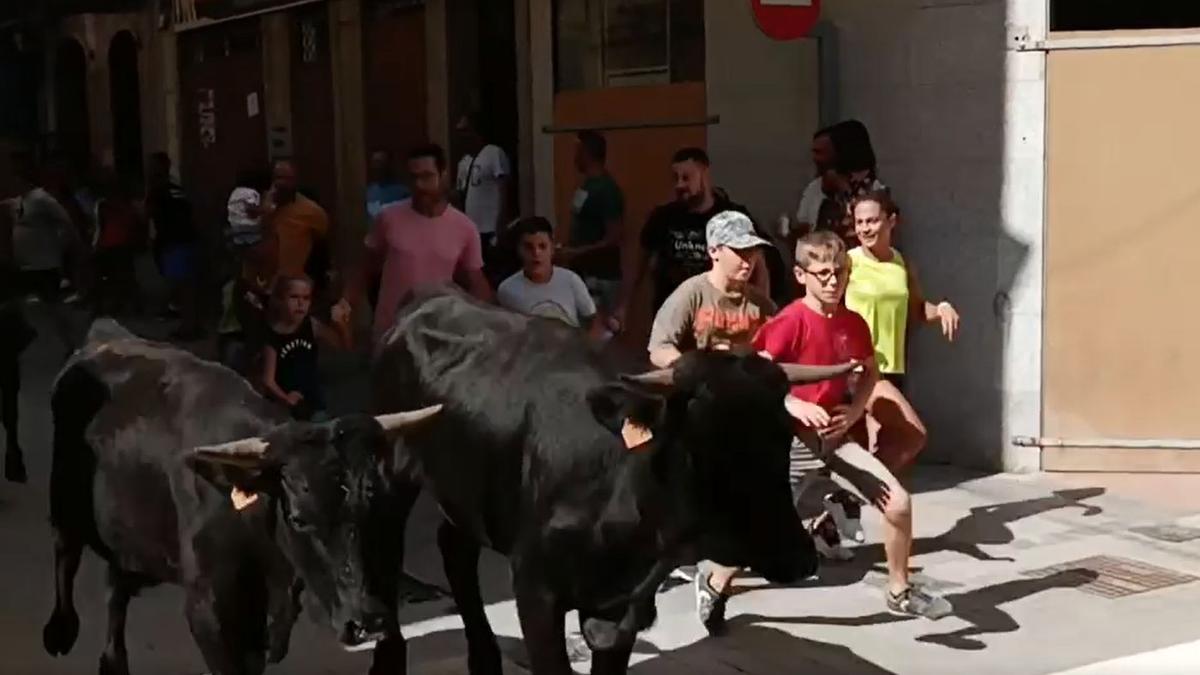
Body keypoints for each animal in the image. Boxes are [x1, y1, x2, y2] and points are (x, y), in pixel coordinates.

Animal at [43, 319, 446, 672]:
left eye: (382, 510)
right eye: (298, 518)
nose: (367, 621)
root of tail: (107, 334)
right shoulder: (209, 610)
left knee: (116, 584)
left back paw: (112, 661)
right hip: (64, 498)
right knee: (66, 552)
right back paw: (60, 631)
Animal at [367, 288, 854, 672]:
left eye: (784, 434)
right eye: (705, 440)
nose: (799, 558)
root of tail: (428, 300)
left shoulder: (623, 608)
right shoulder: (535, 590)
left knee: (455, 547)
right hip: (394, 471)